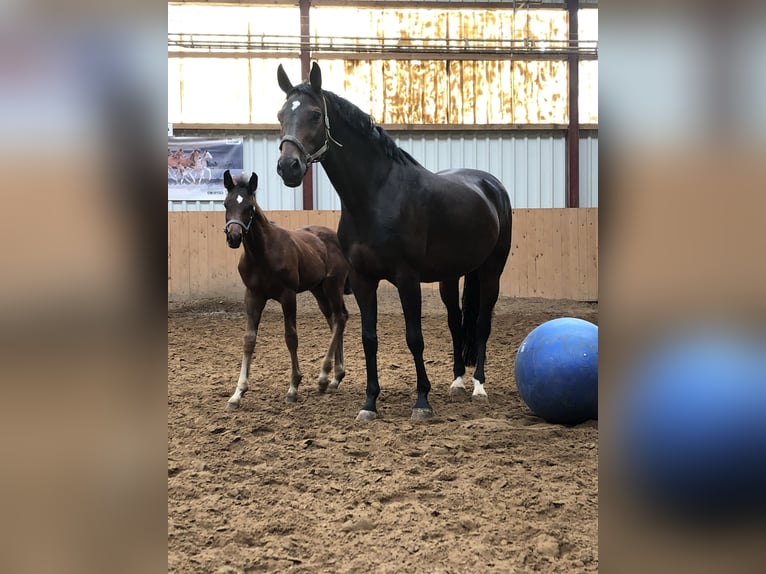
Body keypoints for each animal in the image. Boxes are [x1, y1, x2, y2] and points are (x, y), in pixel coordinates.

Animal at [222, 170, 352, 410]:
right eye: (226, 204)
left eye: (250, 207)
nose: (233, 237)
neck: (261, 254)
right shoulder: (253, 296)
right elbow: (249, 339)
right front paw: (238, 393)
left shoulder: (288, 295)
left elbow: (291, 337)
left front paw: (293, 387)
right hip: (319, 290)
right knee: (334, 320)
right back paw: (336, 377)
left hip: (333, 285)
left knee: (340, 318)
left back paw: (324, 376)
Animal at [278, 63, 516, 424]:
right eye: (281, 115)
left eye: (316, 115)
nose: (287, 167)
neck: (376, 196)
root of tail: (491, 185)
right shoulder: (363, 280)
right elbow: (369, 338)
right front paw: (369, 402)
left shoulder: (407, 278)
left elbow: (414, 338)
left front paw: (422, 401)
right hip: (450, 276)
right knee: (455, 321)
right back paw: (458, 381)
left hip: (492, 271)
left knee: (481, 323)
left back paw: (478, 386)